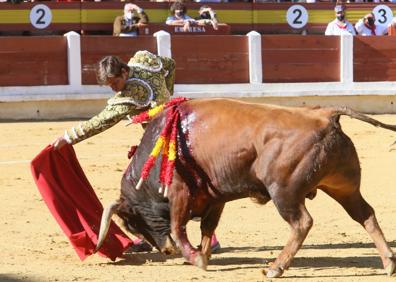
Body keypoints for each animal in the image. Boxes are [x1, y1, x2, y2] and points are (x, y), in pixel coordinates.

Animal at [96, 98, 396, 278]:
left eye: (131, 224)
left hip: (284, 192)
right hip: (344, 187)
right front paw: (203, 256)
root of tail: (325, 115)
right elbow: (207, 228)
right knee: (365, 215)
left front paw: (194, 257)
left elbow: (177, 227)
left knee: (302, 222)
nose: (166, 252)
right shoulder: (215, 196)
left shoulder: (180, 192)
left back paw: (276, 268)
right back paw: (388, 263)